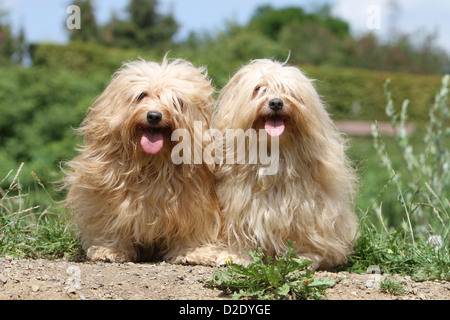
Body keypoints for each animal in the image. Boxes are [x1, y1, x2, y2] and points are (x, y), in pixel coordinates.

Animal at [64, 57, 222, 264]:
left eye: (177, 101)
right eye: (141, 95)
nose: (154, 115)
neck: (152, 164)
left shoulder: (194, 205)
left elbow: (192, 227)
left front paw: (192, 252)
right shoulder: (107, 198)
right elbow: (111, 222)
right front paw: (110, 250)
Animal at [214, 58, 358, 268]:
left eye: (289, 92)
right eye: (259, 88)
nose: (276, 102)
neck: (273, 152)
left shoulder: (306, 210)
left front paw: (301, 257)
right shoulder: (239, 205)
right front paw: (240, 256)